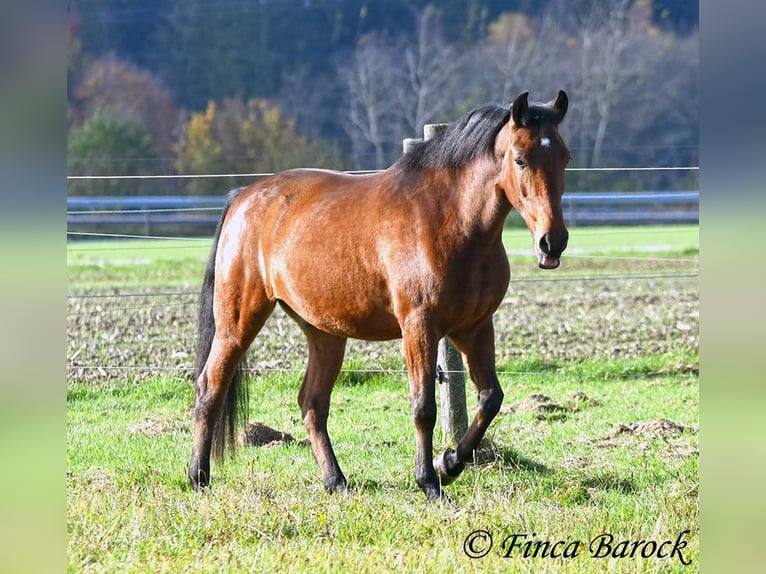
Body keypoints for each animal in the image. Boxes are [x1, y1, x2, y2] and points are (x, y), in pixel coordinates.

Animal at [191, 90, 568, 500]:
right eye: (520, 159)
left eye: (564, 157)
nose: (553, 242)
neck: (449, 219)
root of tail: (243, 198)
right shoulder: (419, 327)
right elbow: (424, 407)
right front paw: (429, 481)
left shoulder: (475, 328)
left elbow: (490, 397)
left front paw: (449, 463)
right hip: (238, 321)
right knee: (211, 387)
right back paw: (199, 476)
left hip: (324, 333)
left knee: (312, 403)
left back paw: (335, 480)